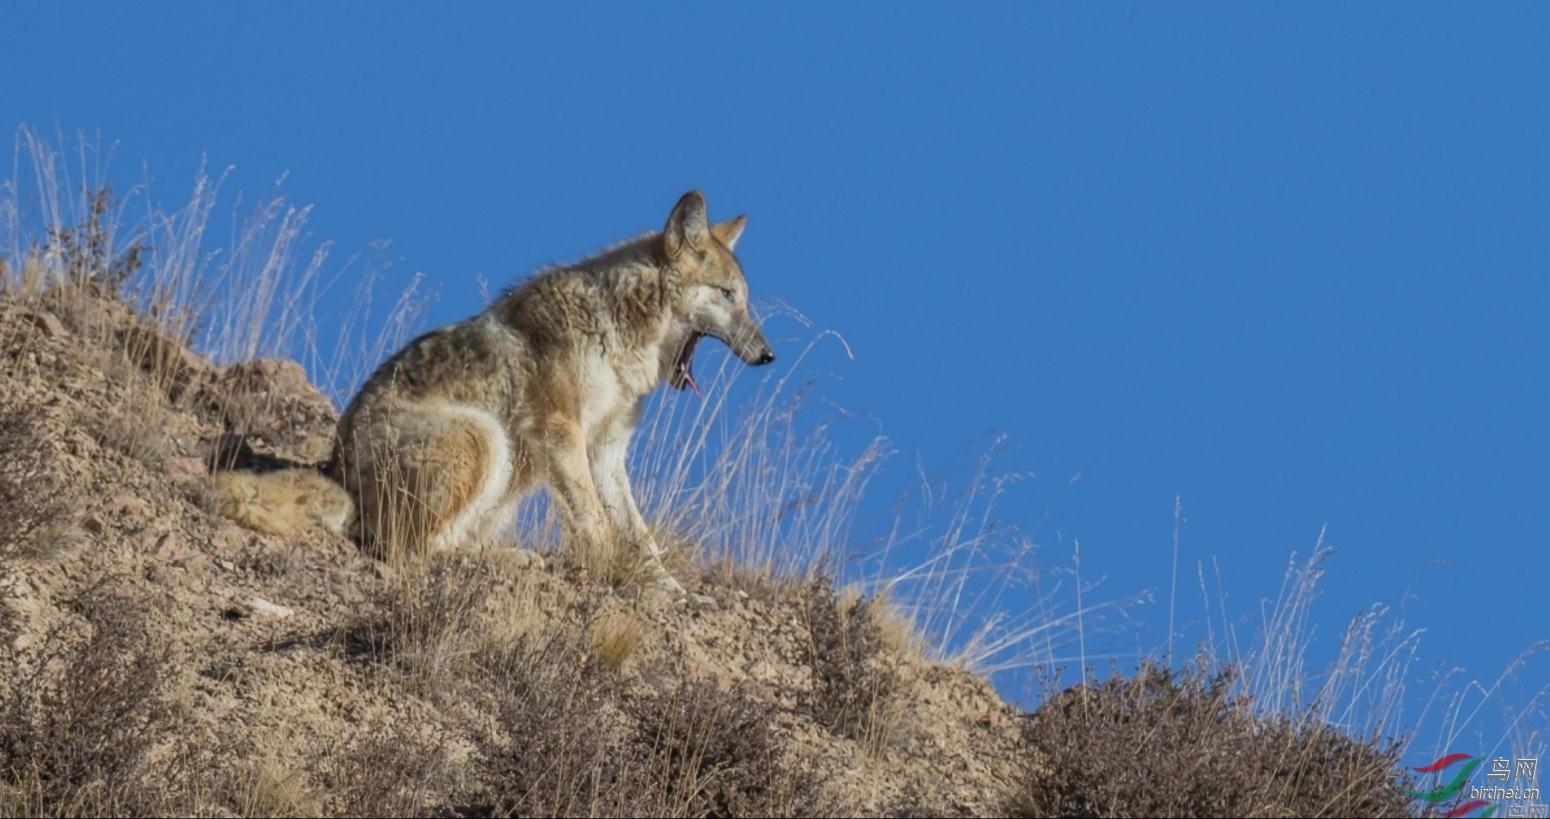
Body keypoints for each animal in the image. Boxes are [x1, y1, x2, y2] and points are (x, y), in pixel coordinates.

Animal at [215, 190, 771, 589]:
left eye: (745, 300)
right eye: (728, 296)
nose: (768, 355)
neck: (616, 333)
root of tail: (339, 473)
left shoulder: (607, 450)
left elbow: (639, 531)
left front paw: (664, 584)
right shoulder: (560, 432)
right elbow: (594, 519)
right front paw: (610, 571)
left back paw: (512, 557)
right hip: (484, 437)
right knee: (408, 548)